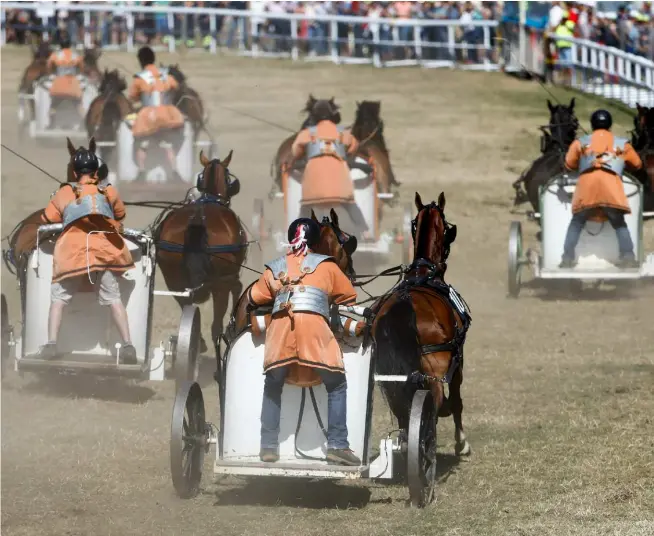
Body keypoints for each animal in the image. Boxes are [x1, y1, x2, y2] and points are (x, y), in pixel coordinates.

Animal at [155, 149, 247, 354]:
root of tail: (198, 218)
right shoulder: (230, 275)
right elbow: (238, 288)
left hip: (174, 280)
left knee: (186, 305)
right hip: (220, 285)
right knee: (216, 327)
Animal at [372, 191, 474, 496]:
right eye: (449, 228)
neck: (424, 274)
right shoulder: (457, 362)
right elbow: (458, 402)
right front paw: (461, 444)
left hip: (392, 377)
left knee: (404, 414)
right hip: (435, 370)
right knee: (435, 404)